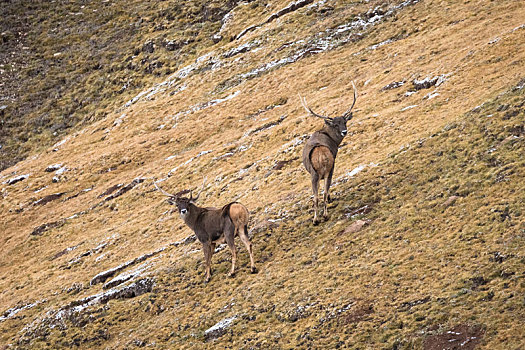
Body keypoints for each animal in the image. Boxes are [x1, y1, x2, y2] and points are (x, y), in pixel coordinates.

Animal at [298, 82, 356, 224]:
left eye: (344, 121)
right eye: (335, 124)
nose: (344, 131)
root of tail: (321, 156)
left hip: (318, 172)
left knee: (318, 195)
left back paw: (318, 218)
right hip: (327, 168)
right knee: (321, 193)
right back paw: (321, 216)